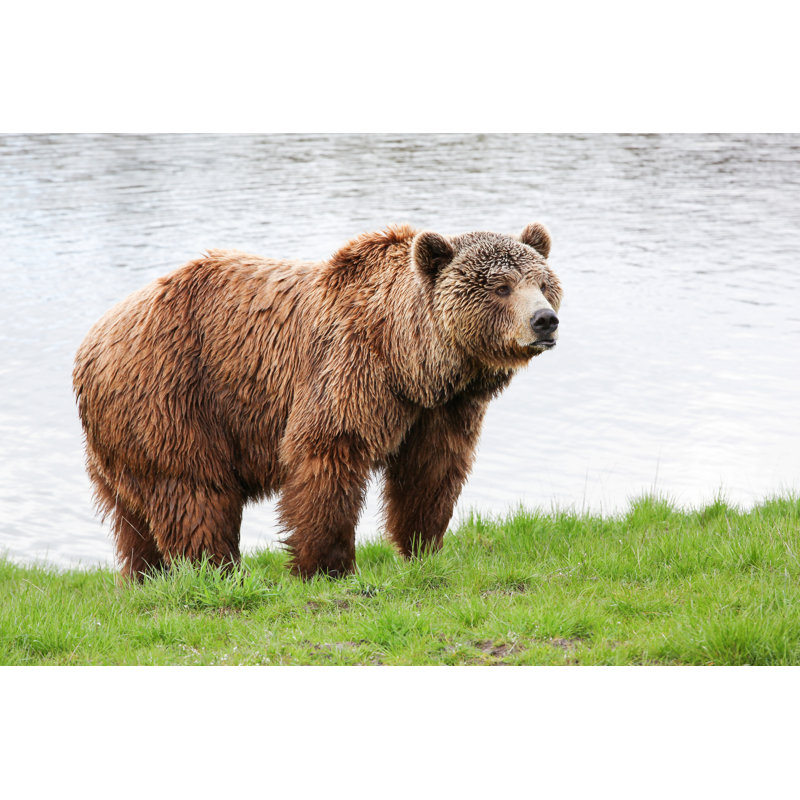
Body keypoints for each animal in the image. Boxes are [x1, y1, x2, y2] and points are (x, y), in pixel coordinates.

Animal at [73, 223, 562, 580]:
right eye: (500, 287)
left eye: (542, 282)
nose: (545, 320)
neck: (410, 359)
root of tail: (92, 341)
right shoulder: (349, 368)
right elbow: (328, 455)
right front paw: (327, 567)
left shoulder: (441, 409)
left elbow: (431, 472)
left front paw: (423, 548)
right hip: (171, 397)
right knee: (194, 492)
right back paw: (217, 571)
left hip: (121, 437)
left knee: (134, 519)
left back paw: (146, 577)